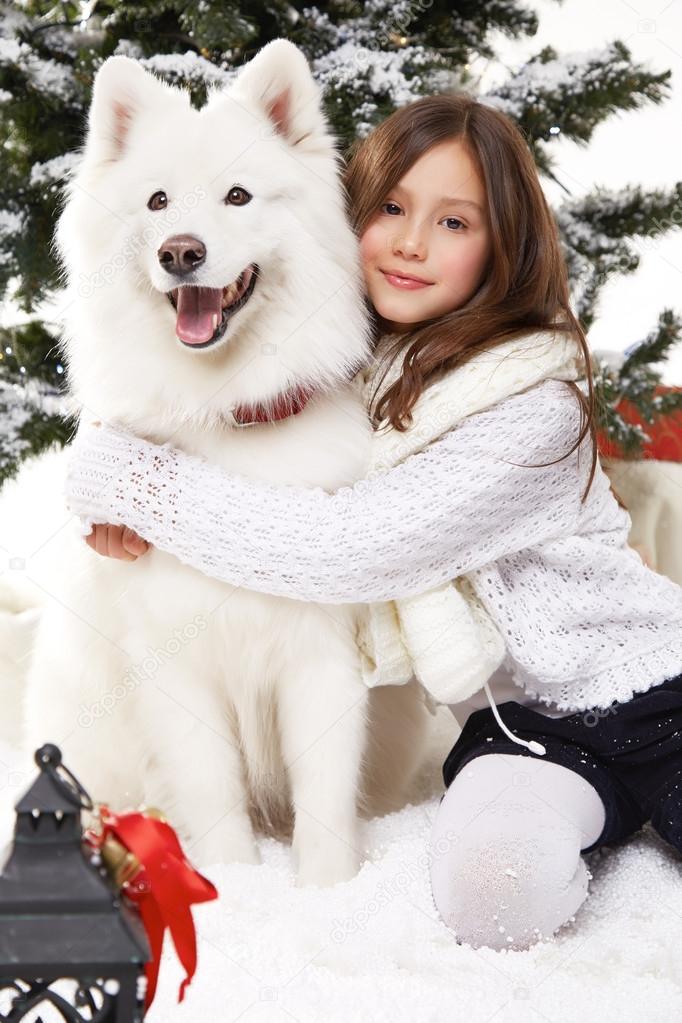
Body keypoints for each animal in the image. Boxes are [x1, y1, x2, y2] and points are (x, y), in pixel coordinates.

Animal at [0, 41, 431, 887]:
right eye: (158, 202)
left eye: (238, 197)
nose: (181, 254)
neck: (228, 419)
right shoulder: (176, 666)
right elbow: (213, 786)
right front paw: (233, 885)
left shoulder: (322, 658)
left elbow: (324, 794)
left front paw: (325, 890)